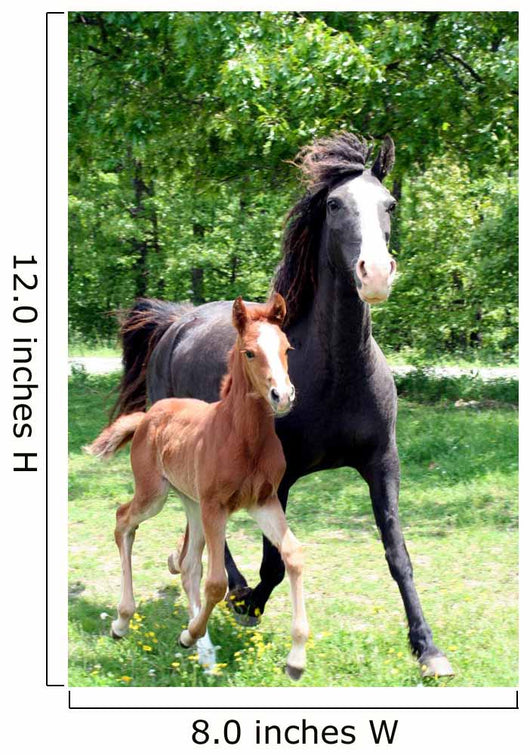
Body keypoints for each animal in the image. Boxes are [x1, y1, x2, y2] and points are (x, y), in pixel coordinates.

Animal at [87, 294, 310, 680]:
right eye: (250, 352)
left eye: (286, 348)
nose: (282, 396)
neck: (243, 437)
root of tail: (147, 417)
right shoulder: (215, 506)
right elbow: (218, 583)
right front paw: (188, 635)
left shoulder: (263, 502)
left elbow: (292, 555)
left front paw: (296, 659)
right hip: (156, 494)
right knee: (123, 520)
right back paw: (122, 621)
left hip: (190, 500)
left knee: (189, 565)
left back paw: (201, 650)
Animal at [112, 133, 453, 679]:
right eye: (334, 205)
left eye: (390, 204)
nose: (376, 274)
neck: (336, 373)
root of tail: (176, 321)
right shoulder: (282, 475)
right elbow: (272, 560)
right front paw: (249, 604)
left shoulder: (383, 463)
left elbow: (397, 553)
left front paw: (427, 648)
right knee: (208, 530)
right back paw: (226, 591)